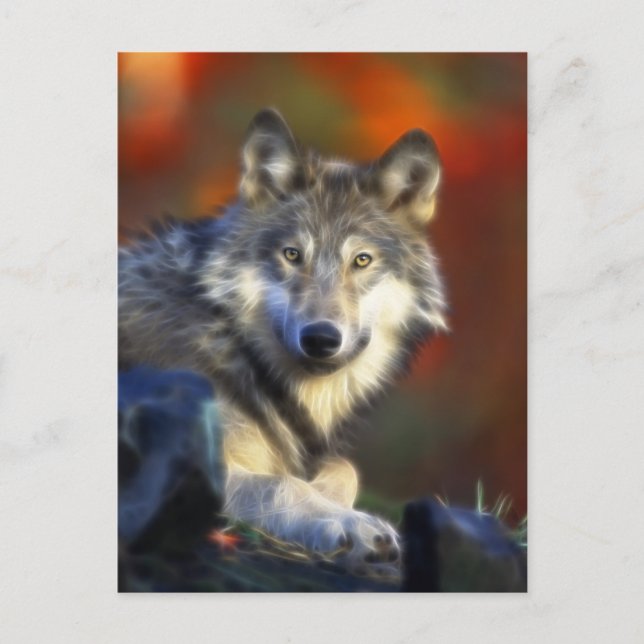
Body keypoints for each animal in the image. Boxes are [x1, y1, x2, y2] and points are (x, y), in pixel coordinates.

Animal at [119, 108, 447, 573]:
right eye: (292, 255)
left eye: (361, 260)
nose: (321, 339)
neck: (234, 345)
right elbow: (280, 485)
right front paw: (350, 525)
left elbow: (343, 468)